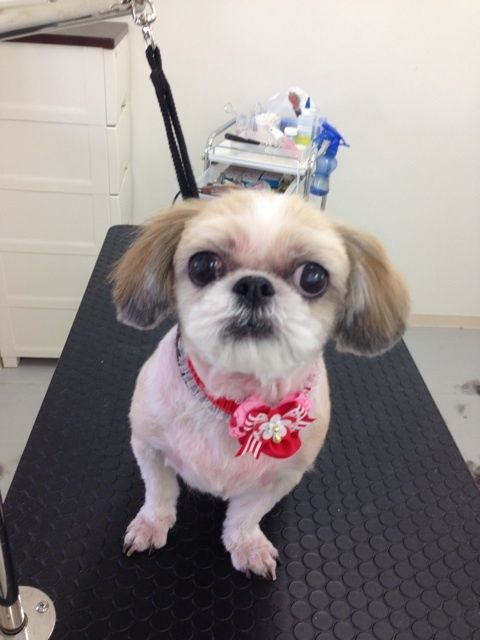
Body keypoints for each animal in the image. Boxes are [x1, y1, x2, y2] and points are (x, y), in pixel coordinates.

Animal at [110, 191, 409, 579]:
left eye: (313, 276)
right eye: (203, 265)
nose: (254, 285)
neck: (234, 400)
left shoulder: (281, 477)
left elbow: (246, 515)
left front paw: (247, 545)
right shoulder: (149, 446)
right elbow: (159, 494)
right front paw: (151, 525)